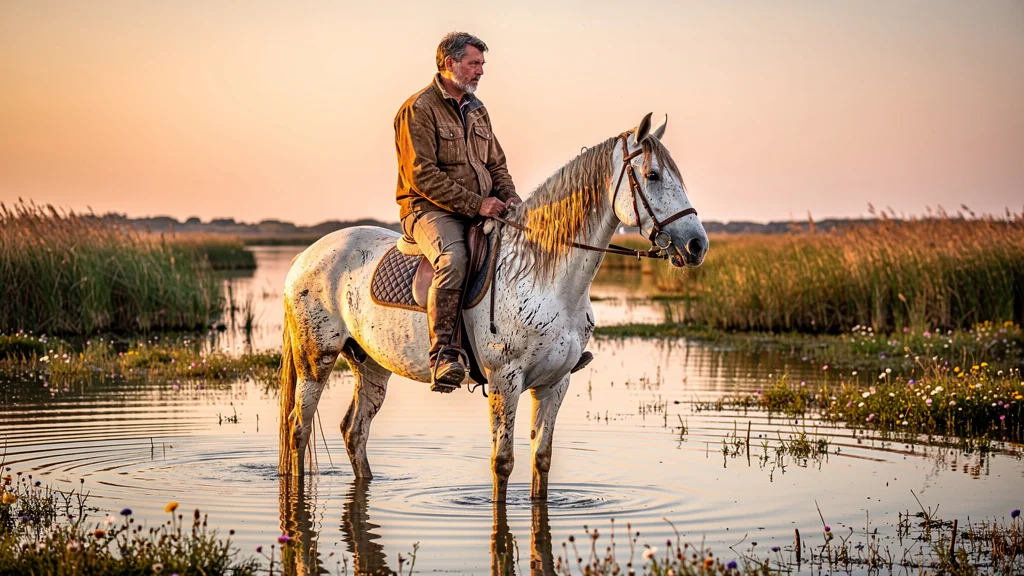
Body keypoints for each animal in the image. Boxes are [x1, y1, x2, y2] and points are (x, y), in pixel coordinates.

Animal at [278, 112, 708, 503]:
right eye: (652, 175)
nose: (697, 245)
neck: (544, 277)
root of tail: (305, 256)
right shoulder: (506, 379)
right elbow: (502, 463)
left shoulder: (556, 382)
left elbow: (541, 460)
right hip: (316, 358)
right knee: (298, 427)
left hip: (372, 365)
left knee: (355, 432)